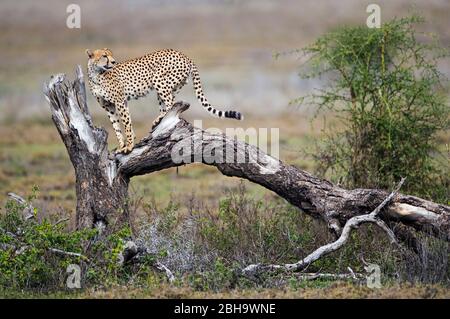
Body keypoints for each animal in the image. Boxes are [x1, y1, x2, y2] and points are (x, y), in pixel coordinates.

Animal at [85, 47, 243, 155]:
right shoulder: (109, 106)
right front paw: (121, 146)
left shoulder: (120, 102)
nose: (113, 61)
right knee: (168, 103)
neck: (96, 74)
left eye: (111, 54)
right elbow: (116, 127)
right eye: (104, 55)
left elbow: (127, 125)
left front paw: (129, 146)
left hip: (159, 80)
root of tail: (183, 54)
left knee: (170, 102)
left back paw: (157, 120)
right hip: (173, 85)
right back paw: (158, 123)